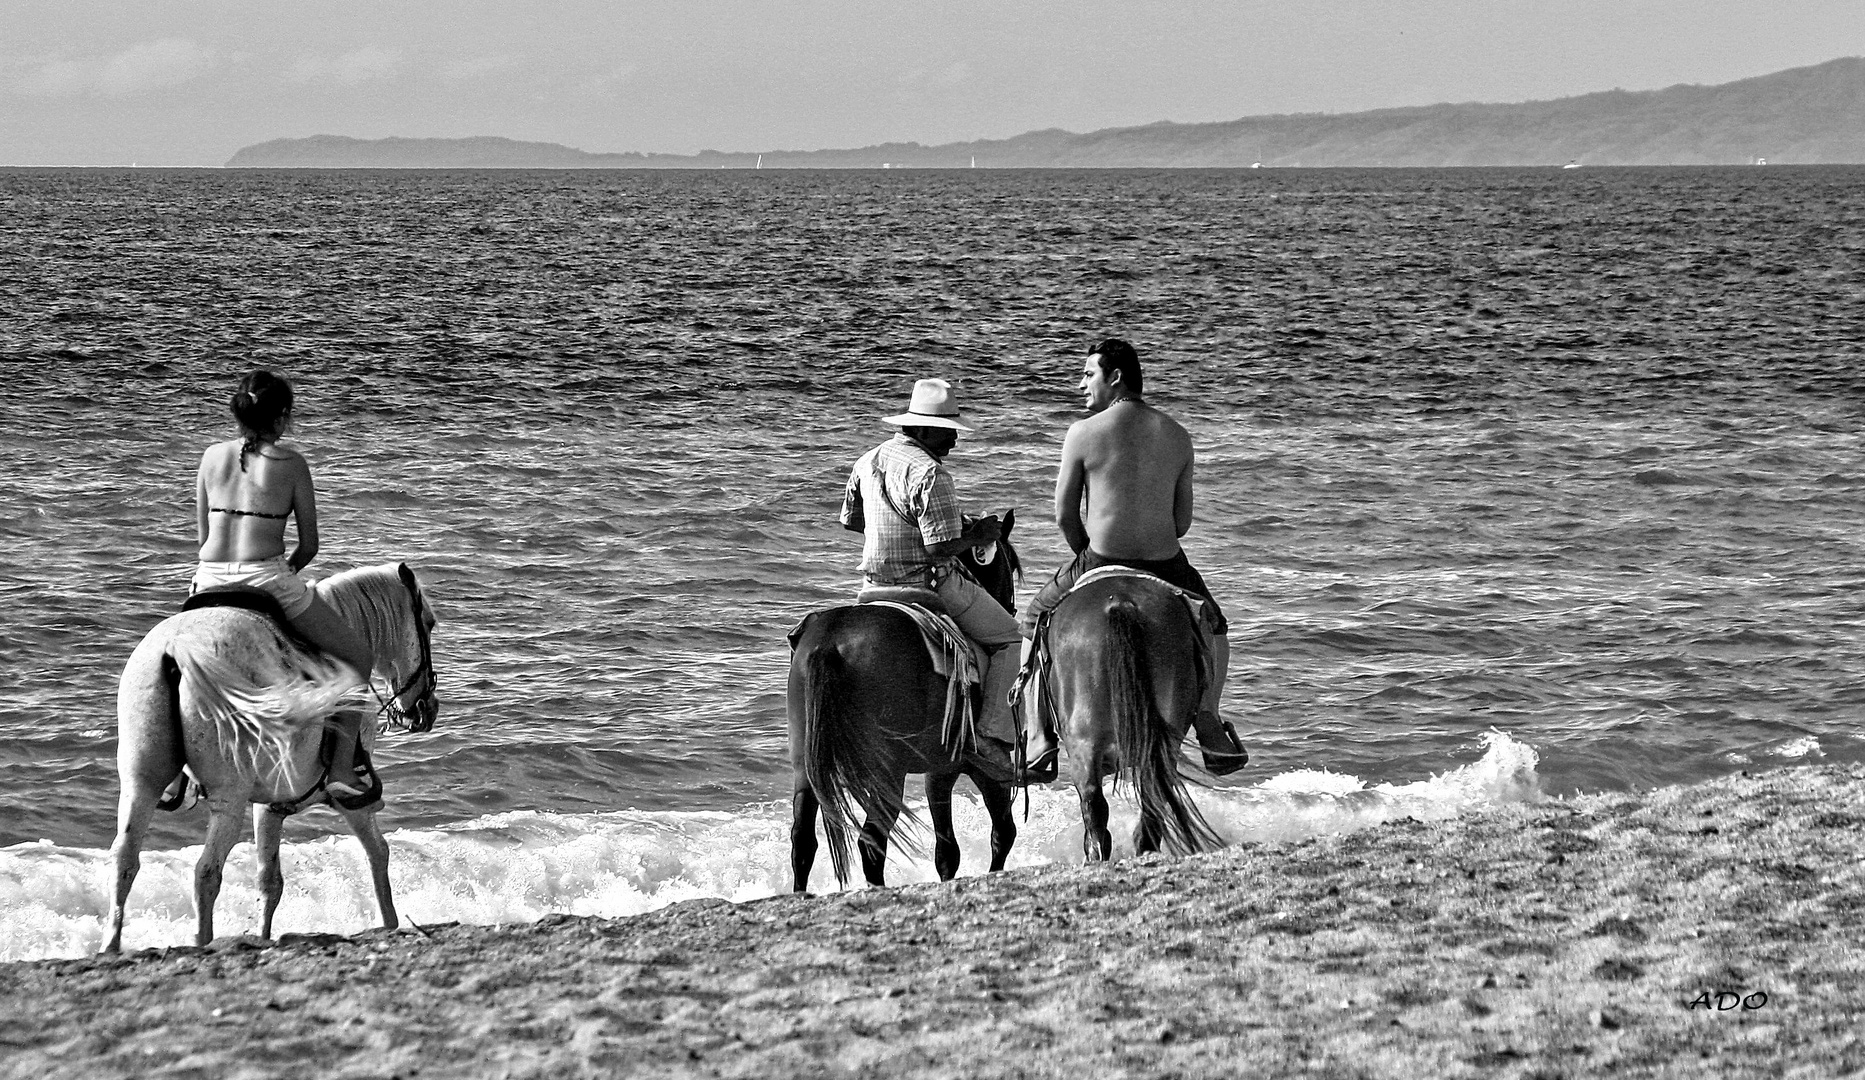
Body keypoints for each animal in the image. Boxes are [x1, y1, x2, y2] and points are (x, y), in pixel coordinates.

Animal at [108, 563, 440, 951]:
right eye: (428, 623)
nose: (425, 709)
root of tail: (176, 649)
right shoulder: (347, 800)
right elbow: (378, 853)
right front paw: (389, 922)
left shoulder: (268, 806)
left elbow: (269, 880)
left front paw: (264, 937)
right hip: (229, 796)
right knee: (206, 872)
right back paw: (202, 941)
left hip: (141, 784)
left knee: (125, 860)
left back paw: (111, 945)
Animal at [783, 511, 1022, 891]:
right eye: (1010, 564)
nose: (1009, 607)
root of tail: (828, 643)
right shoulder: (969, 768)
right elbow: (1000, 834)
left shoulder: (939, 770)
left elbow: (949, 850)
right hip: (887, 771)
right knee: (871, 842)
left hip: (805, 766)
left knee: (803, 842)